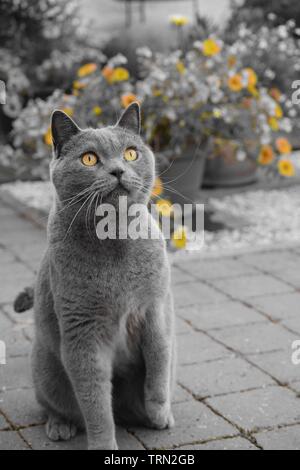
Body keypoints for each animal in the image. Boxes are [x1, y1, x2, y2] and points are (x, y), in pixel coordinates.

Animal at [15, 103, 176, 452]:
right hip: (45, 366)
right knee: (54, 405)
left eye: (131, 153)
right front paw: (103, 443)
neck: (114, 240)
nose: (118, 170)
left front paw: (159, 413)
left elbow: (158, 362)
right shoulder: (82, 332)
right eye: (89, 159)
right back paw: (60, 426)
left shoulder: (155, 309)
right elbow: (95, 402)